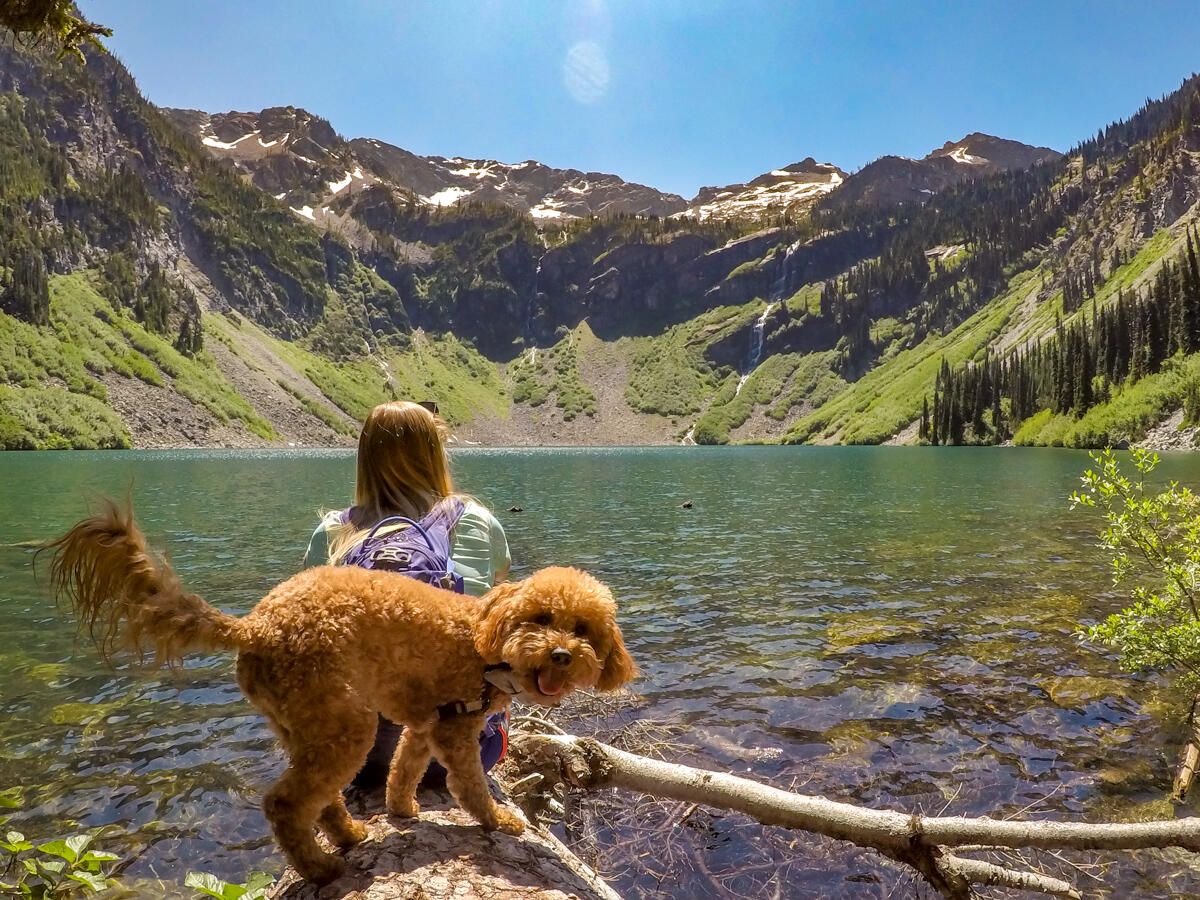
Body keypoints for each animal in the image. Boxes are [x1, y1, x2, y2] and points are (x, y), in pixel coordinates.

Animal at [44, 504, 638, 883]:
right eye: (540, 617)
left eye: (584, 630)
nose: (560, 654)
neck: (485, 644)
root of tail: (253, 627)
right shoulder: (454, 729)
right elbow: (469, 786)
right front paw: (499, 821)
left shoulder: (426, 724)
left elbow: (403, 770)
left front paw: (402, 810)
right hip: (345, 722)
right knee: (285, 803)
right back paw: (321, 868)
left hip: (307, 721)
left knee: (319, 796)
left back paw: (349, 834)